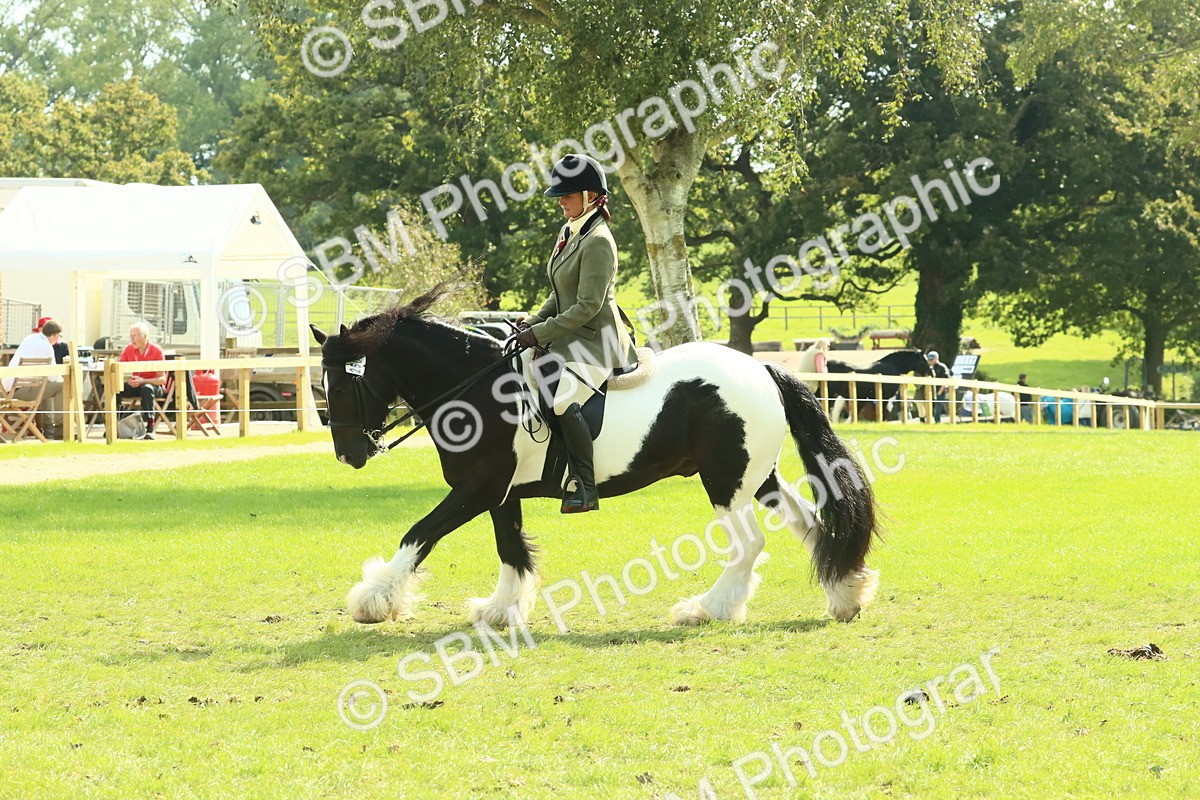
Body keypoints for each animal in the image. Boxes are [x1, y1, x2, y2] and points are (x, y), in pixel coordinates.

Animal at [311, 285, 880, 629]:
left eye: (341, 386)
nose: (349, 454)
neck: (475, 389)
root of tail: (763, 369)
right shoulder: (500, 493)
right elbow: (510, 548)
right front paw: (501, 609)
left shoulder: (476, 489)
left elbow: (419, 534)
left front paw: (374, 600)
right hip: (755, 477)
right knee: (809, 523)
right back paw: (845, 595)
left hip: (724, 481)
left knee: (749, 544)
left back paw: (707, 609)